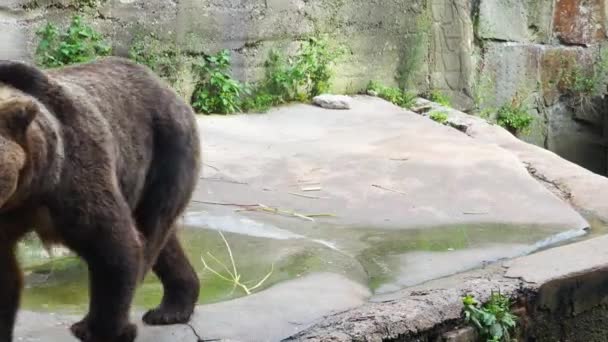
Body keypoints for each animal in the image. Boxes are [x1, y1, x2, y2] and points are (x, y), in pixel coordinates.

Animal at [0, 56, 202, 342]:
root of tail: (169, 88)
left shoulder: (72, 176)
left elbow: (114, 247)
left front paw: (97, 329)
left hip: (166, 153)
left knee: (151, 230)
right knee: (165, 243)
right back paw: (172, 307)